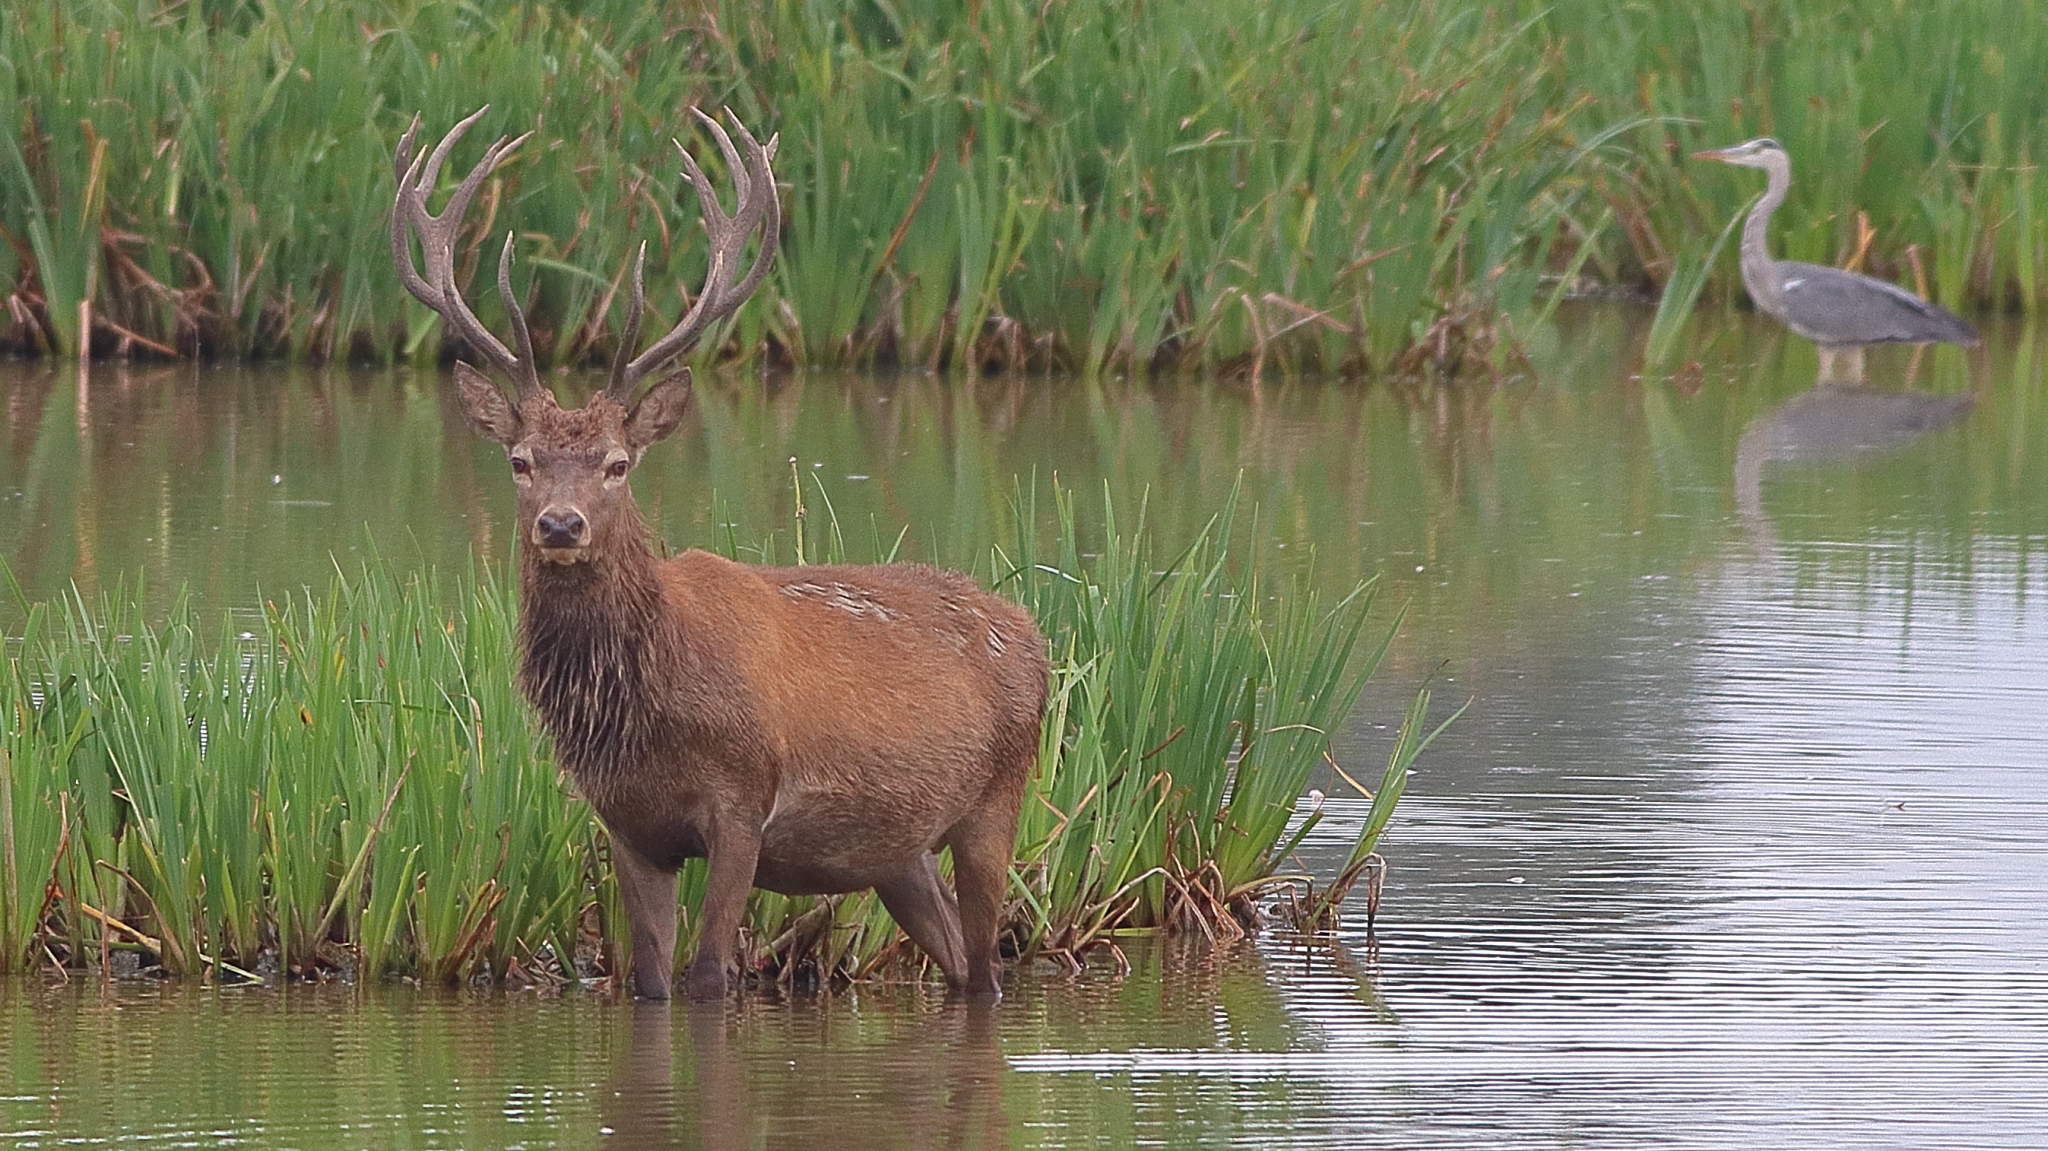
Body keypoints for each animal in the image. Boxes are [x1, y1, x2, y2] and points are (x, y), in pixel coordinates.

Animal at [390, 106, 1049, 1000]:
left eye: (617, 463)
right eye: (520, 460)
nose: (560, 525)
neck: (649, 695)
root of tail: (1035, 635)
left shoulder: (744, 798)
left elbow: (707, 977)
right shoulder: (628, 823)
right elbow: (650, 979)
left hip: (996, 798)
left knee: (987, 966)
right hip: (897, 850)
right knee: (952, 954)